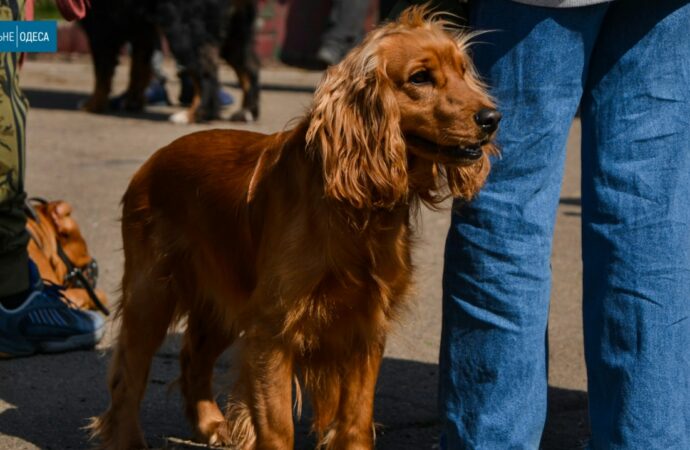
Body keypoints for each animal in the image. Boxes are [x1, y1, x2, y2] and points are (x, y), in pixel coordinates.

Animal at [79, 0, 260, 123]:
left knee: (207, 73)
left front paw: (92, 105)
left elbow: (102, 73)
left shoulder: (100, 25)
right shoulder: (142, 30)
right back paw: (246, 112)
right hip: (236, 30)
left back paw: (193, 115)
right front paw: (133, 102)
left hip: (183, 29)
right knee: (250, 70)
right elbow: (138, 69)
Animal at [89, 7, 500, 449]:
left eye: (463, 71)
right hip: (152, 294)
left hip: (222, 304)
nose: (493, 117)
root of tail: (152, 162)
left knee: (191, 358)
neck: (357, 214)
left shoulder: (366, 327)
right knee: (128, 375)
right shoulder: (273, 327)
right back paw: (130, 438)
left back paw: (211, 424)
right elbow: (278, 427)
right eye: (420, 77)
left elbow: (356, 421)